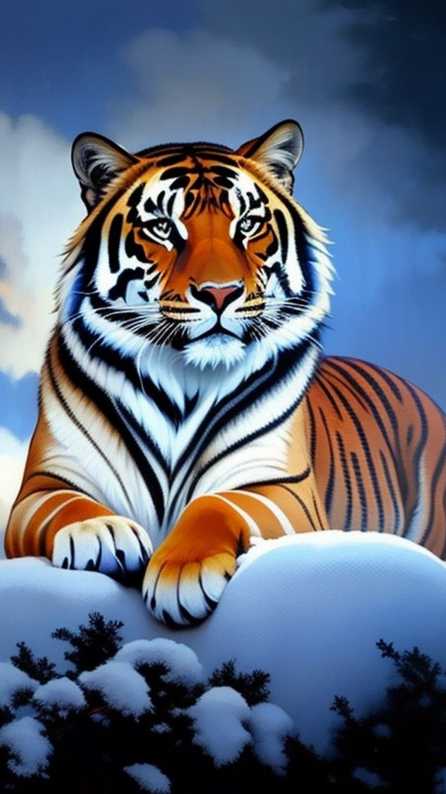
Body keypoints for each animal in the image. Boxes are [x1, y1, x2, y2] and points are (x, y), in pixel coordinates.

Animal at [5, 119, 446, 627]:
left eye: (248, 224)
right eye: (163, 227)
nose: (220, 293)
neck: (183, 381)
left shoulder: (284, 491)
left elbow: (216, 503)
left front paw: (181, 571)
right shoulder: (42, 485)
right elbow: (67, 504)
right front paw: (102, 530)